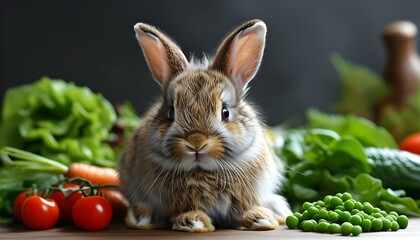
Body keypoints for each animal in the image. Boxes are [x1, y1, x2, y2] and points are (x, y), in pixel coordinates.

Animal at [120, 18, 292, 232]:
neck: (204, 171)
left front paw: (260, 219)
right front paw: (194, 222)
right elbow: (184, 211)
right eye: (171, 113)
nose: (196, 142)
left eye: (225, 112)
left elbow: (244, 209)